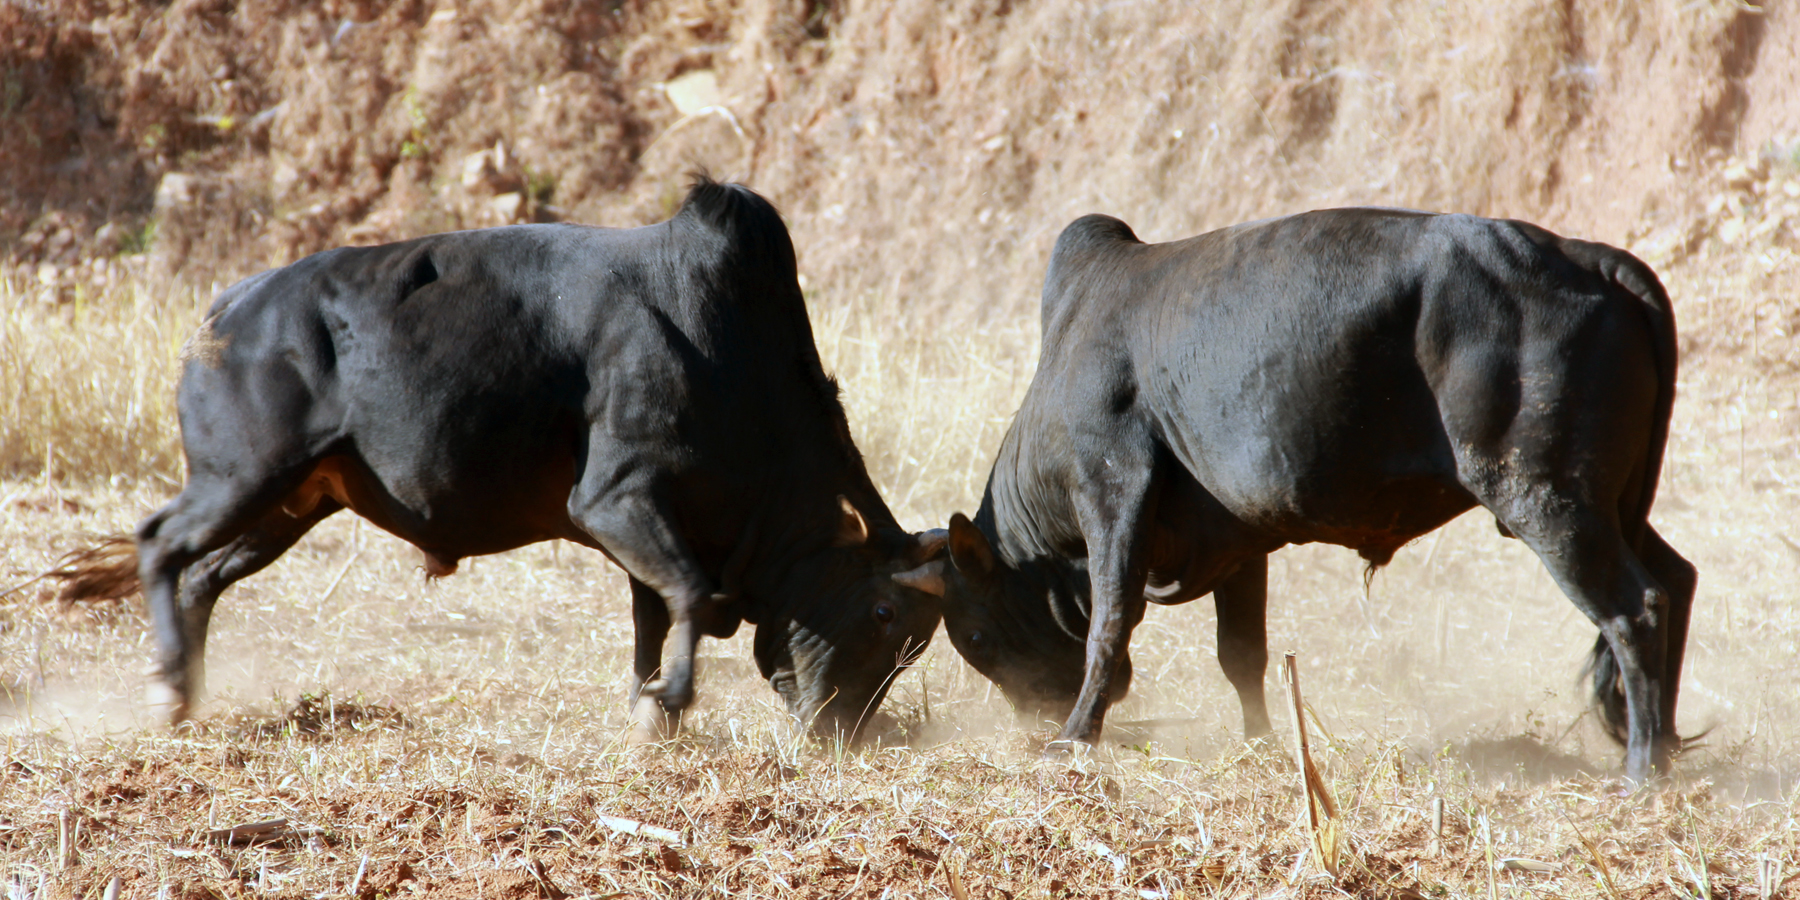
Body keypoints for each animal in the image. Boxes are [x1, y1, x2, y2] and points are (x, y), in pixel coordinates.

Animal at [70, 179, 943, 741]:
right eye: (884, 613)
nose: (842, 731)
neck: (733, 363)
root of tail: (229, 306)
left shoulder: (640, 533)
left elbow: (655, 619)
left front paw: (649, 704)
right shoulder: (618, 500)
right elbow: (691, 596)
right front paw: (668, 704)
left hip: (292, 503)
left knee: (203, 578)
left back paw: (188, 689)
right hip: (241, 480)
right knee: (159, 544)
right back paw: (166, 687)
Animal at [921, 207, 1692, 784]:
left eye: (977, 636)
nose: (1035, 716)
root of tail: (1592, 258)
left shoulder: (1111, 489)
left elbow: (1110, 624)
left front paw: (1075, 737)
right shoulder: (1239, 544)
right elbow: (1242, 653)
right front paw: (1262, 740)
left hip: (1546, 497)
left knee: (1635, 607)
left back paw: (1641, 771)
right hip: (1607, 503)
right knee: (1676, 579)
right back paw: (1666, 746)